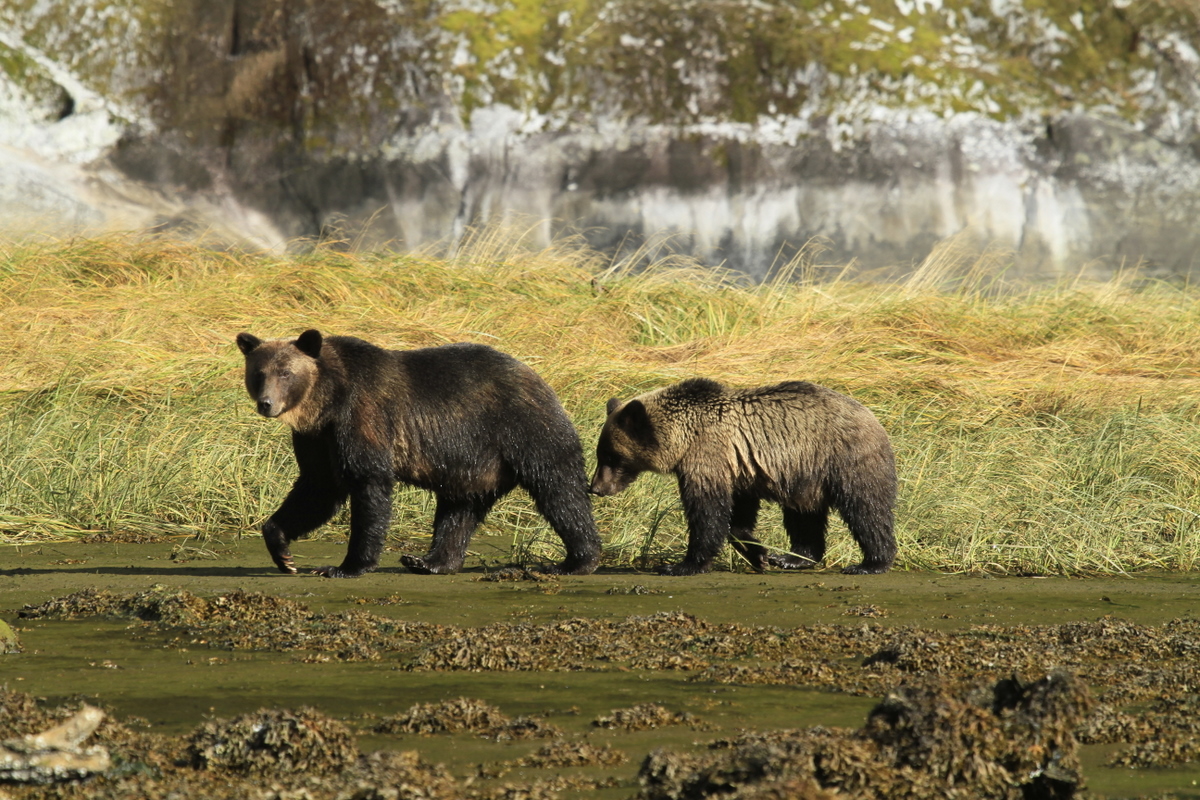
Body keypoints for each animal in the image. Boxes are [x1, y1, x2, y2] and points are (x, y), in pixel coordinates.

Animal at [235, 328, 604, 578]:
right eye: (258, 372)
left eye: (286, 373)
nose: (267, 403)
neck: (327, 401)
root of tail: (540, 379)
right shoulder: (316, 438)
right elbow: (317, 488)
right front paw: (283, 553)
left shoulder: (363, 416)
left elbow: (367, 484)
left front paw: (346, 565)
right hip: (472, 463)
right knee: (459, 509)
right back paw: (430, 561)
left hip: (522, 428)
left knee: (558, 489)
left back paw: (577, 559)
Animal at [585, 381, 897, 575]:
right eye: (602, 453)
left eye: (611, 456)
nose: (595, 487)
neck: (682, 438)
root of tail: (872, 415)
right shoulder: (740, 469)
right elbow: (737, 515)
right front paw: (759, 554)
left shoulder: (708, 456)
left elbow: (706, 512)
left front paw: (681, 565)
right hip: (804, 475)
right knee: (803, 515)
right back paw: (792, 558)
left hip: (841, 458)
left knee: (866, 507)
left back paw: (870, 562)